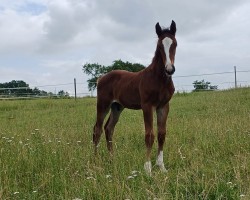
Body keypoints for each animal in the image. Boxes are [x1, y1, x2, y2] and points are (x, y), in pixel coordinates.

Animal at [93, 20, 177, 175]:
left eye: (174, 44)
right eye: (159, 46)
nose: (170, 69)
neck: (159, 79)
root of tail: (101, 78)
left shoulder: (163, 106)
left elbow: (161, 134)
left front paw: (161, 167)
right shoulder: (147, 106)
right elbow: (149, 135)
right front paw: (148, 169)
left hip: (117, 107)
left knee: (109, 128)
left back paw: (112, 159)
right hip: (103, 105)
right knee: (97, 129)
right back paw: (95, 161)